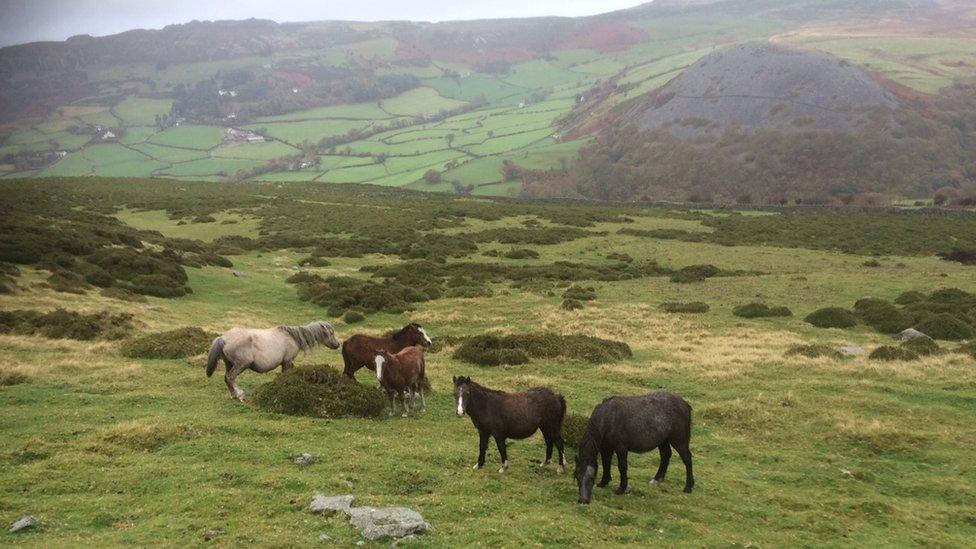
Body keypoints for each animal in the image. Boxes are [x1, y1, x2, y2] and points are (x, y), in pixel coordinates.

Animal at [206, 318, 340, 400]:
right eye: (331, 333)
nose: (337, 344)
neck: (293, 337)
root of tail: (224, 338)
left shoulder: (288, 362)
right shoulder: (287, 361)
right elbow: (285, 374)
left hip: (229, 364)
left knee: (227, 378)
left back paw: (234, 395)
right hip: (241, 365)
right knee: (230, 377)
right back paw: (239, 395)